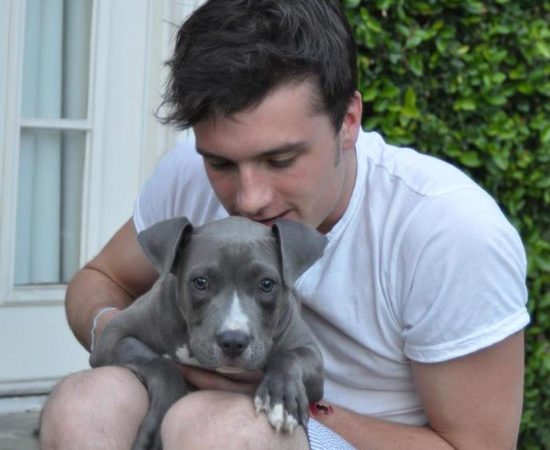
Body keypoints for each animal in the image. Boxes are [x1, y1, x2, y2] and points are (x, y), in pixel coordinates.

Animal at [90, 216, 328, 448]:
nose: (233, 341)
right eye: (200, 282)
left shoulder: (312, 360)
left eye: (267, 284)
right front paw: (156, 428)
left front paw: (281, 397)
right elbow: (163, 366)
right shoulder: (113, 335)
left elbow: (288, 357)